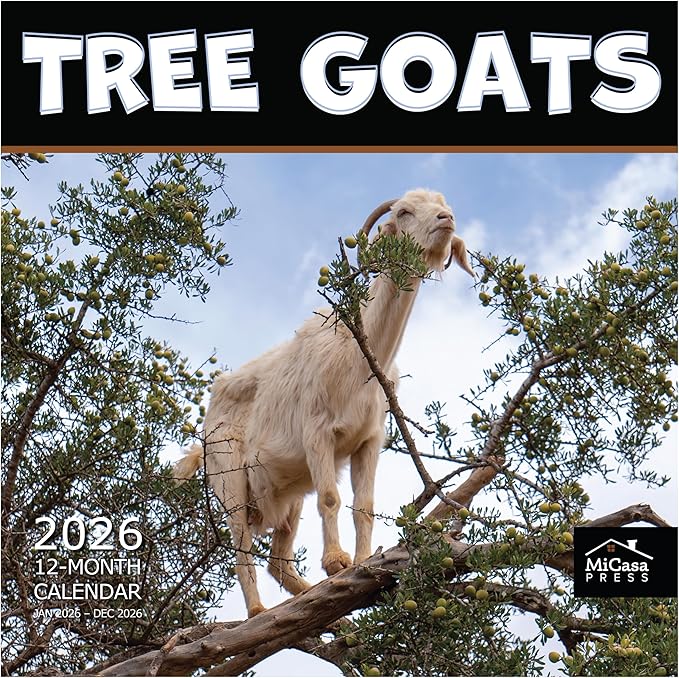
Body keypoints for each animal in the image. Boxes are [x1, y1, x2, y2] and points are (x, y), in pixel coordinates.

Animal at [174, 188, 473, 617]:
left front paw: (363, 562)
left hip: (288, 491)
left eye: (442, 207)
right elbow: (331, 498)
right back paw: (258, 611)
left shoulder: (369, 440)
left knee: (278, 560)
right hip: (227, 474)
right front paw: (336, 561)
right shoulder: (317, 433)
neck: (356, 358)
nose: (445, 220)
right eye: (404, 211)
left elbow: (364, 503)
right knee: (241, 544)